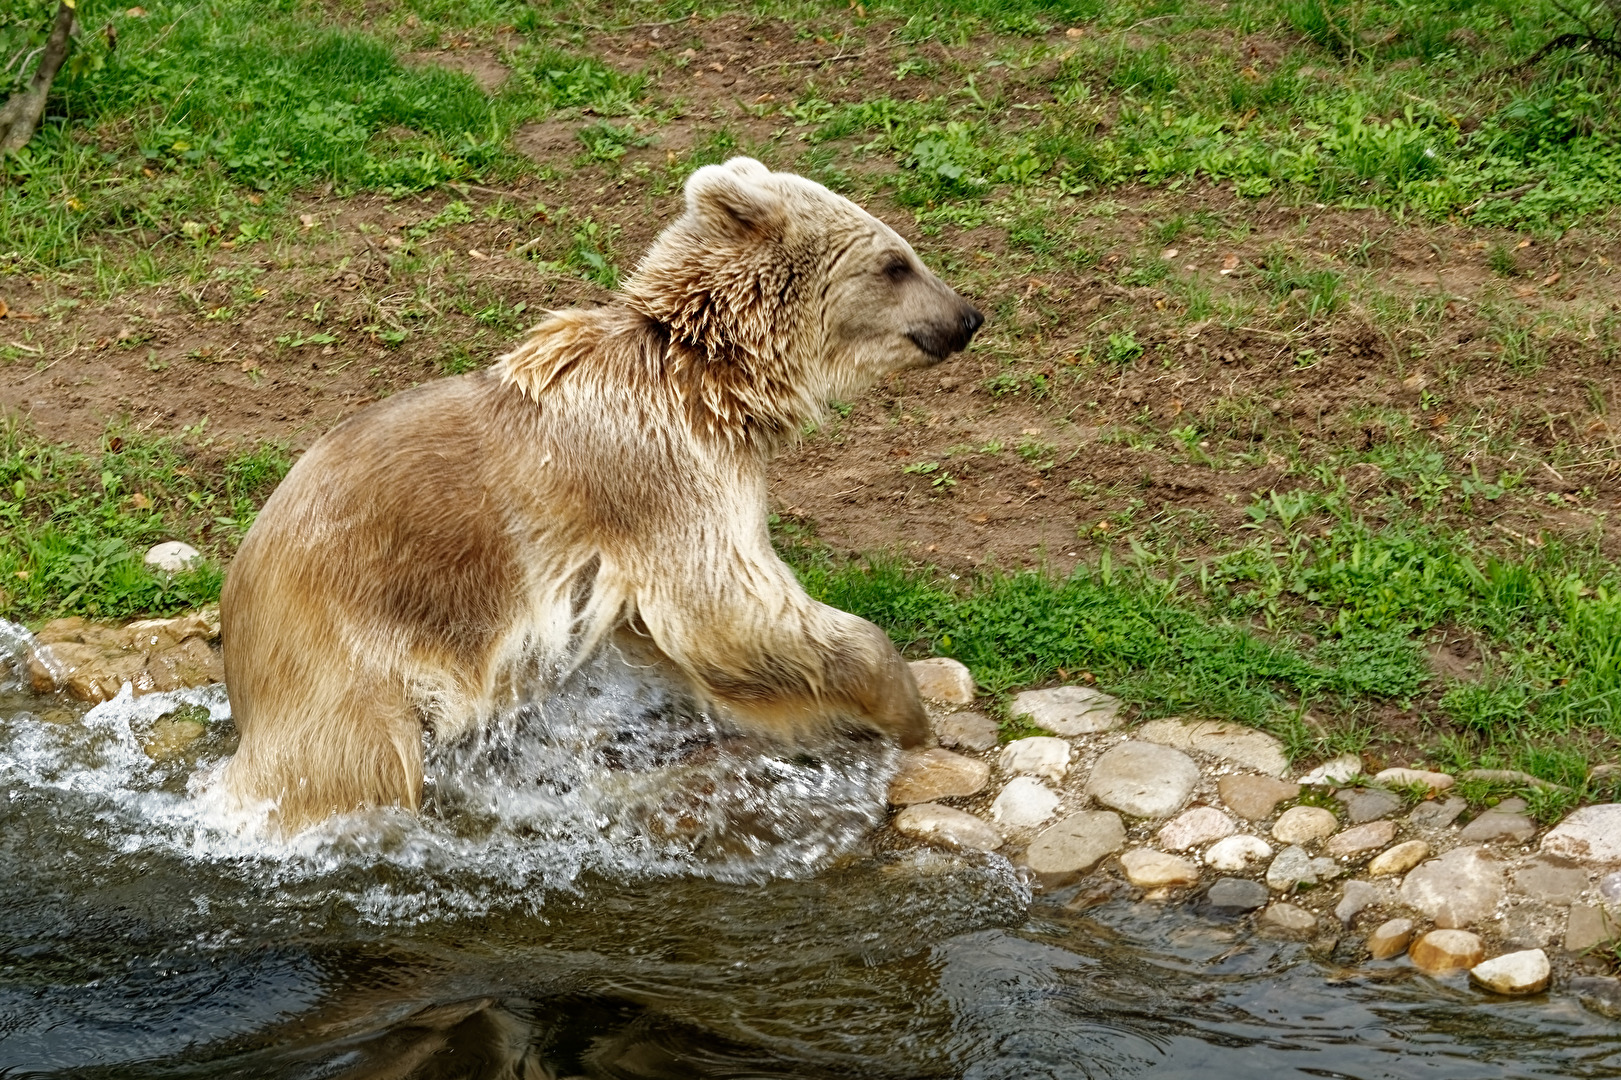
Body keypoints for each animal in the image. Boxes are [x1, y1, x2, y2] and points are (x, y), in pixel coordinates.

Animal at [218, 155, 985, 827]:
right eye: (895, 262)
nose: (967, 315)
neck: (711, 379)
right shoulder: (658, 474)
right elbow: (729, 611)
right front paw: (904, 706)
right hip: (343, 636)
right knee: (348, 762)